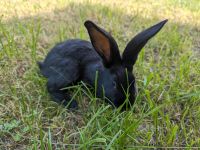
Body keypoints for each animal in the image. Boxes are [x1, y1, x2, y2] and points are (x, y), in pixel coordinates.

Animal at [37, 19, 167, 109]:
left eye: (133, 83)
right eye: (114, 83)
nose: (126, 106)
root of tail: (45, 64)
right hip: (70, 68)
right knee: (51, 86)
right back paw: (71, 103)